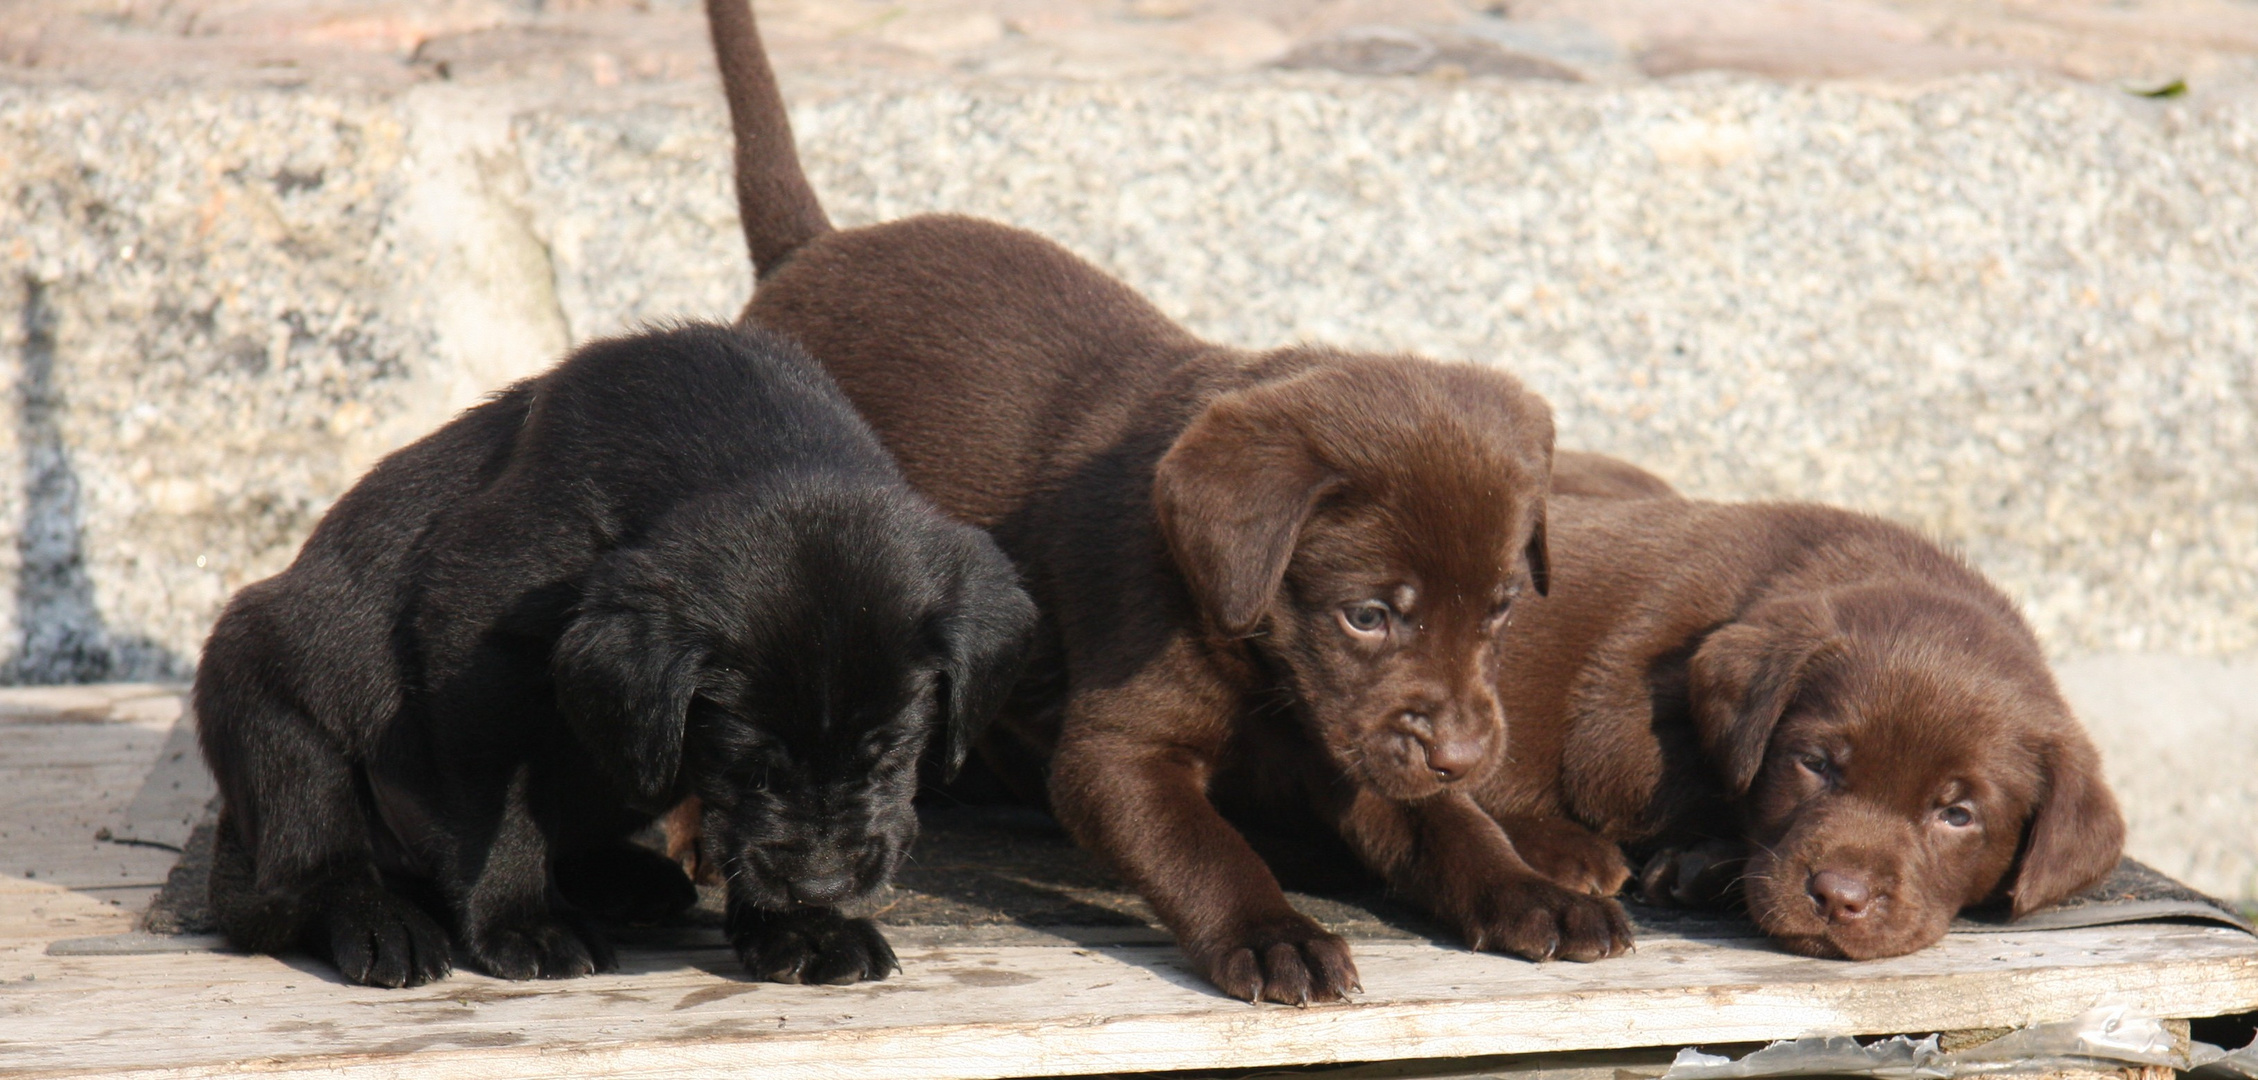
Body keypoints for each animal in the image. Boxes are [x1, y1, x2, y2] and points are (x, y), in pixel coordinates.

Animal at [198, 323, 1034, 985]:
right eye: (745, 762)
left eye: (892, 753)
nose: (823, 884)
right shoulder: (472, 650)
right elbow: (498, 812)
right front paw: (525, 920)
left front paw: (806, 929)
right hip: (264, 701)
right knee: (314, 857)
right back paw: (381, 920)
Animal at [699, 0, 1625, 1003]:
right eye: (1368, 616)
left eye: (1500, 612)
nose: (1462, 756)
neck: (1264, 668)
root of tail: (811, 247)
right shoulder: (1119, 750)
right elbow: (1203, 850)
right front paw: (1276, 935)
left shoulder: (1356, 747)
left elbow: (1450, 826)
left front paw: (1528, 891)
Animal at [1472, 451, 2122, 957]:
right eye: (1815, 764)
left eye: (1957, 814)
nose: (1840, 897)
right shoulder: (1620, 734)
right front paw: (1704, 864)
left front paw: (1701, 867)